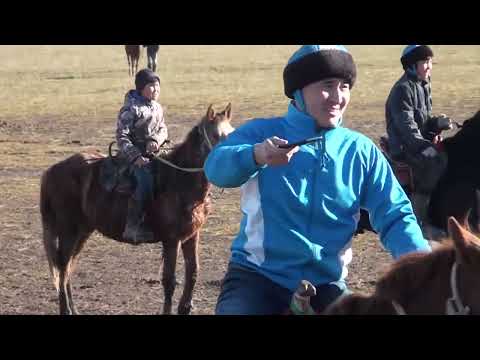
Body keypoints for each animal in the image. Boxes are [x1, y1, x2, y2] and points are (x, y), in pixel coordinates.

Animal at [40, 102, 235, 314]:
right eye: (215, 135)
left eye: (232, 133)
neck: (179, 180)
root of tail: (52, 170)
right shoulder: (171, 240)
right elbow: (169, 281)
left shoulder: (191, 236)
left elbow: (193, 273)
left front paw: (185, 307)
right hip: (68, 230)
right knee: (62, 266)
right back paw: (65, 309)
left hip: (83, 231)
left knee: (68, 267)